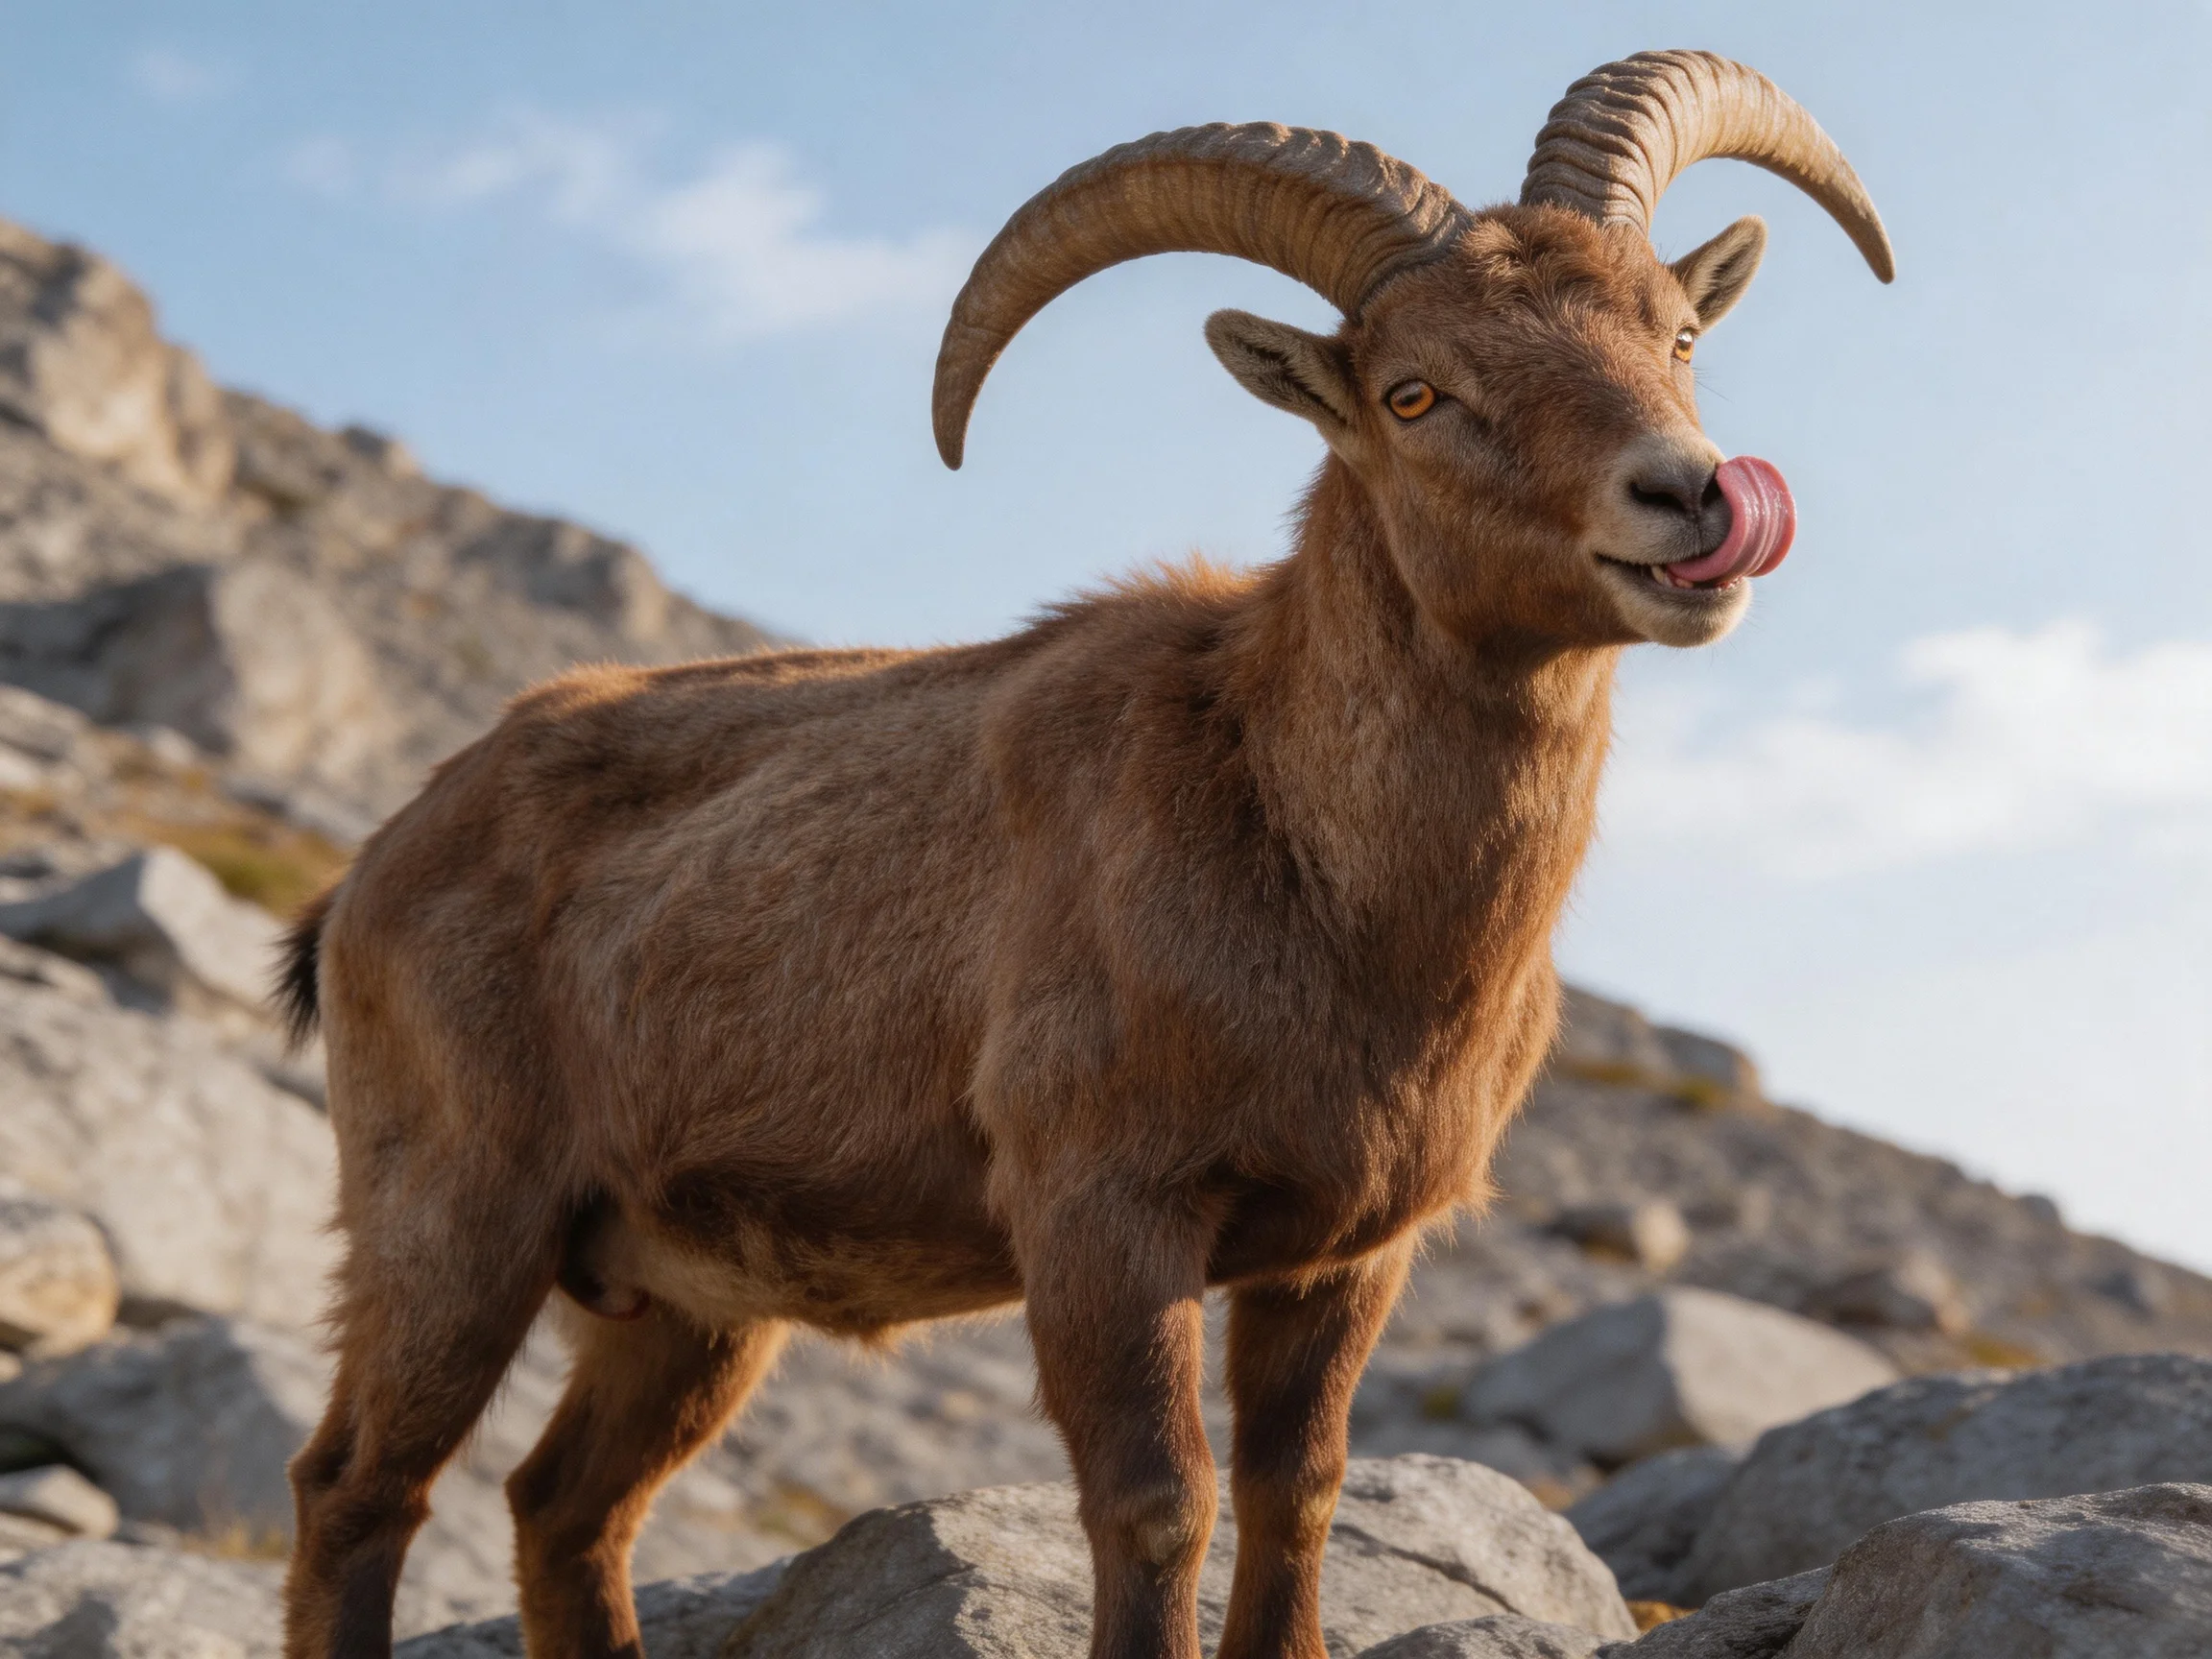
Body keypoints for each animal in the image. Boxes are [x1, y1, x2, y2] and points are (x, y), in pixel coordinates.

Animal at [280, 50, 1891, 1659]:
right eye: (1415, 391)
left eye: (1677, 331)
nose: (1689, 496)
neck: (1316, 873)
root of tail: (371, 872)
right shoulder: (1102, 1214)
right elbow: (1158, 1499)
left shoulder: (1345, 1253)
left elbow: (1300, 1486)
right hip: (456, 1222)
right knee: (357, 1487)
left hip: (687, 1301)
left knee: (566, 1506)